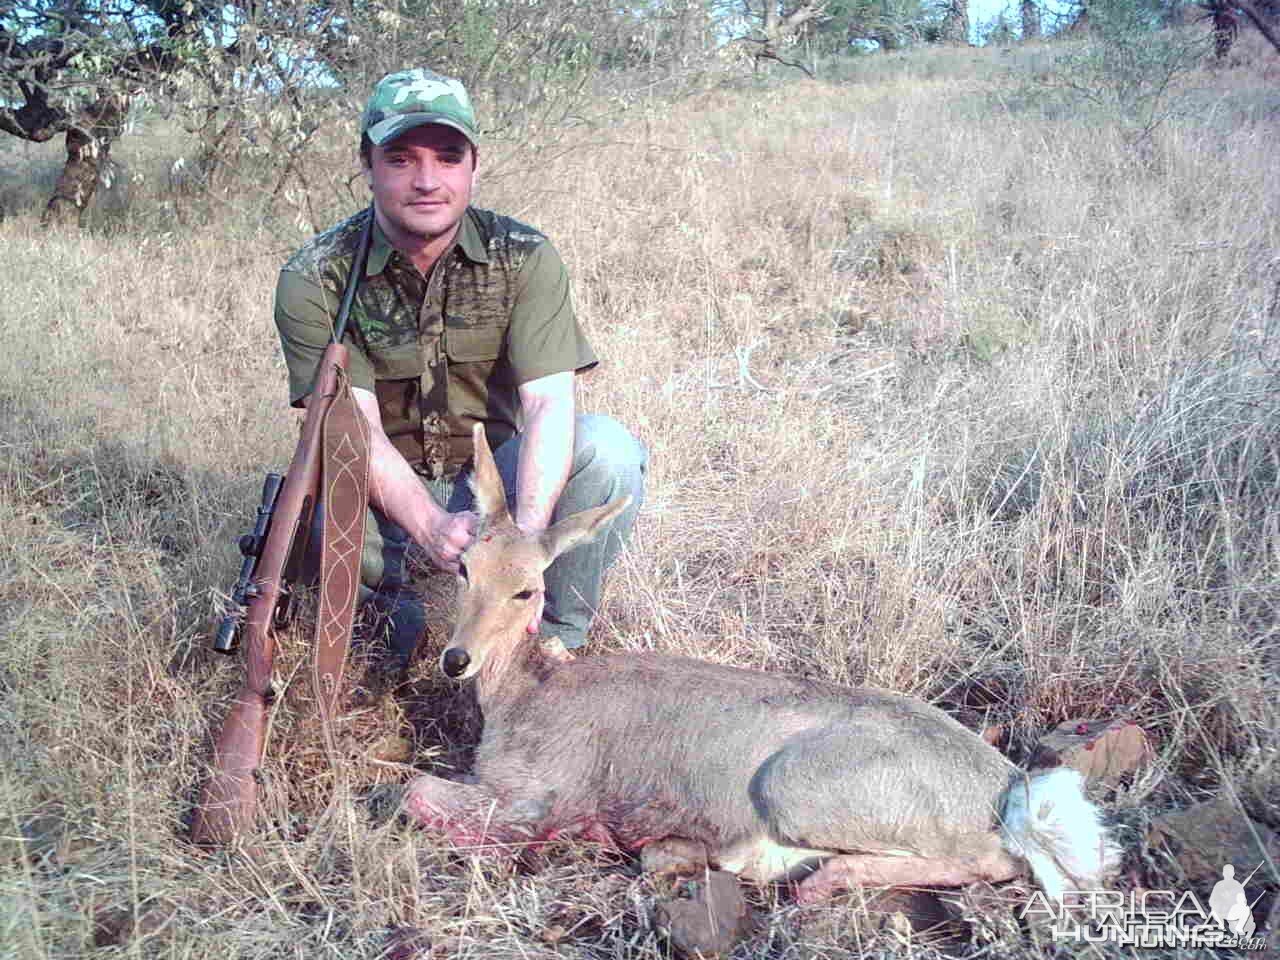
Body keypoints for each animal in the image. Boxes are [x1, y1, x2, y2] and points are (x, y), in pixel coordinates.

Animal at [401, 424, 1121, 906]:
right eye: (465, 567)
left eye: (528, 589)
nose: (456, 659)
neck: (527, 694)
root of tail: (1010, 788)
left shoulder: (536, 795)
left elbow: (414, 792)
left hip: (795, 786)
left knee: (994, 859)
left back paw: (805, 875)